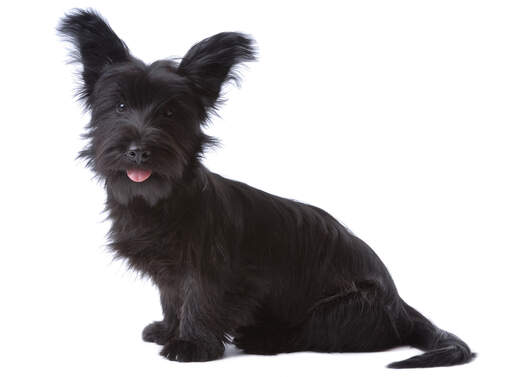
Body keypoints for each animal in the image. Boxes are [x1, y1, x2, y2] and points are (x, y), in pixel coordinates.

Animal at [58, 9, 474, 368]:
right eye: (120, 107)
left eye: (170, 113)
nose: (139, 150)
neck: (160, 200)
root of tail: (401, 304)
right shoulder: (171, 271)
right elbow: (173, 296)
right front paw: (169, 329)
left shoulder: (211, 268)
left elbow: (199, 297)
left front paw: (192, 344)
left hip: (345, 308)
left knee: (314, 333)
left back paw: (262, 339)